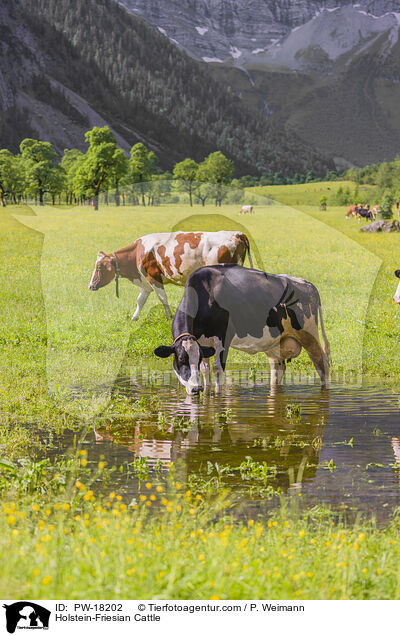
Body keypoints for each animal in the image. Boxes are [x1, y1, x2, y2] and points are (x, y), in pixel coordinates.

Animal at [90, 231, 253, 320]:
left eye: (99, 267)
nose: (90, 285)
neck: (137, 251)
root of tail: (236, 234)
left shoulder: (153, 277)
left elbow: (162, 298)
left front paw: (169, 317)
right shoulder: (146, 283)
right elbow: (140, 300)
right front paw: (134, 318)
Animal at [153, 264, 328, 392]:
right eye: (181, 359)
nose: (196, 389)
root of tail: (307, 284)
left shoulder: (223, 338)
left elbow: (217, 371)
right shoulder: (203, 343)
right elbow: (205, 371)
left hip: (309, 335)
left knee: (322, 365)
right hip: (275, 345)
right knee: (278, 369)